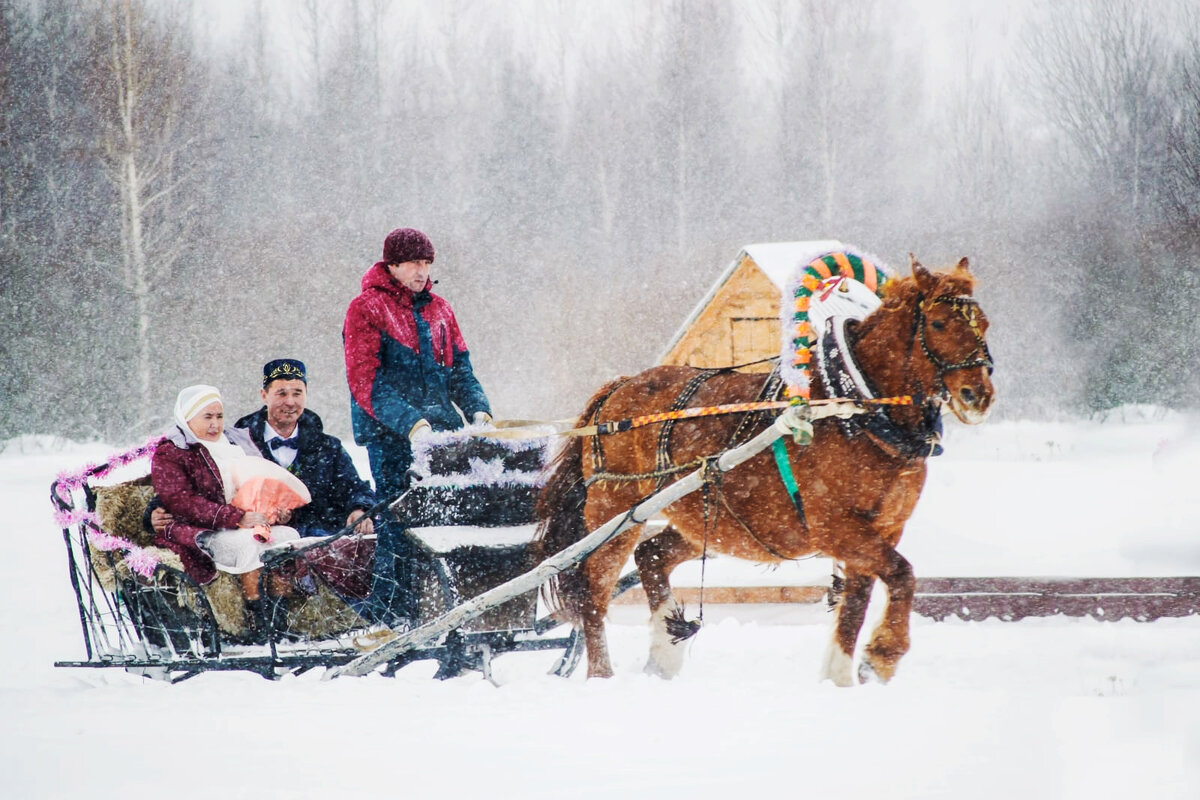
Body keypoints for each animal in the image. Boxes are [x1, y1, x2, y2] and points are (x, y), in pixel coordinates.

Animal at [535, 255, 993, 681]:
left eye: (983, 324)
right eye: (937, 323)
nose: (979, 395)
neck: (853, 406)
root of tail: (618, 388)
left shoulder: (883, 528)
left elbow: (857, 602)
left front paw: (839, 676)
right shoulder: (836, 526)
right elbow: (901, 573)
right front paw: (883, 655)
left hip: (707, 519)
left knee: (651, 555)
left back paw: (664, 653)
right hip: (615, 513)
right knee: (594, 591)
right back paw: (602, 675)